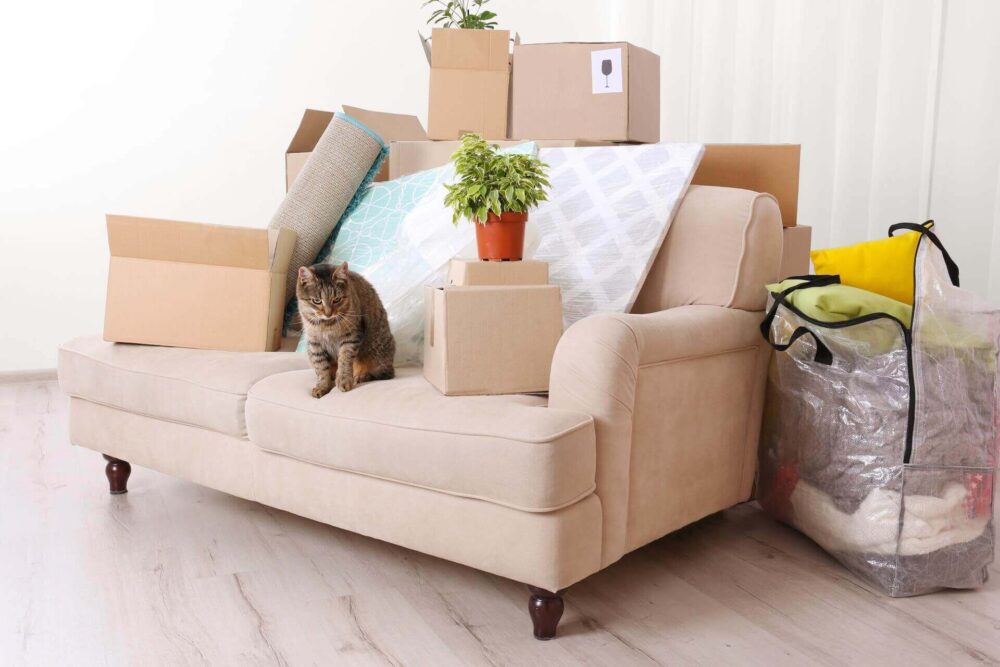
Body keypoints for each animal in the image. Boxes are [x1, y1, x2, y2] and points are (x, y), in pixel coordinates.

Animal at [296, 260, 394, 396]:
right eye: (317, 301)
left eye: (337, 299)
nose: (328, 313)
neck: (327, 324)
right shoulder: (315, 343)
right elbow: (321, 367)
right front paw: (322, 385)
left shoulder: (351, 337)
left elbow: (344, 359)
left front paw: (343, 380)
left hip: (378, 354)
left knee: (384, 373)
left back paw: (361, 376)